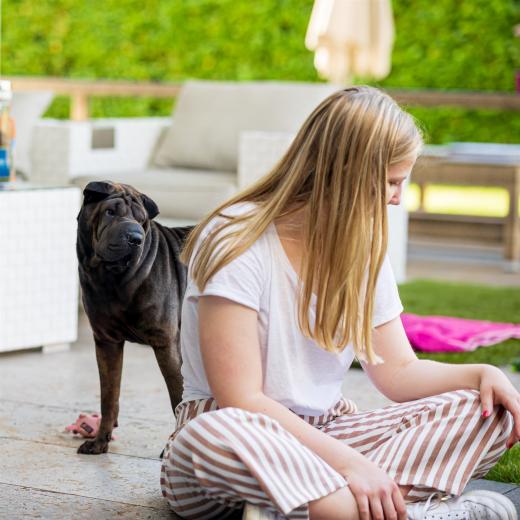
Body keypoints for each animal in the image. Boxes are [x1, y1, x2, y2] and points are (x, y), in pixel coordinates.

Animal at [76, 180, 194, 454]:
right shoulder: (106, 341)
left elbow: (178, 399)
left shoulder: (166, 344)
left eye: (141, 221)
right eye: (110, 212)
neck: (111, 280)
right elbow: (109, 396)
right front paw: (100, 441)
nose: (135, 238)